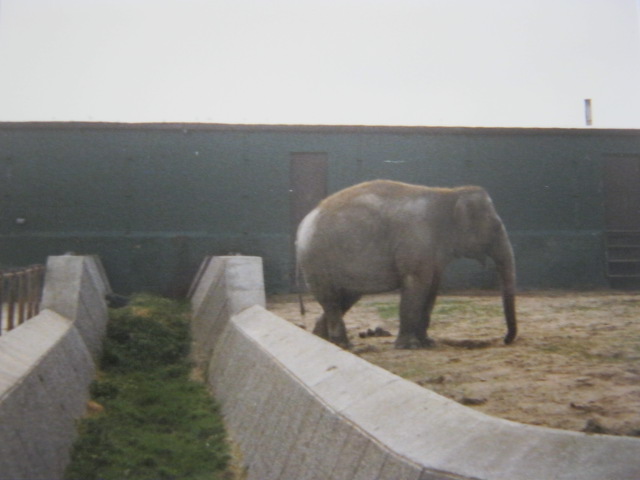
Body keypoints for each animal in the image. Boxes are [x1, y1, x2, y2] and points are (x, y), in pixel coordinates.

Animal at [295, 179, 517, 349]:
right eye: (496, 227)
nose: (505, 340)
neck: (449, 194)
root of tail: (303, 225)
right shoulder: (416, 241)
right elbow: (416, 284)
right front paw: (409, 346)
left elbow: (432, 287)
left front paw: (428, 343)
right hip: (316, 260)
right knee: (331, 299)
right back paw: (343, 344)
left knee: (344, 299)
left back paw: (323, 340)